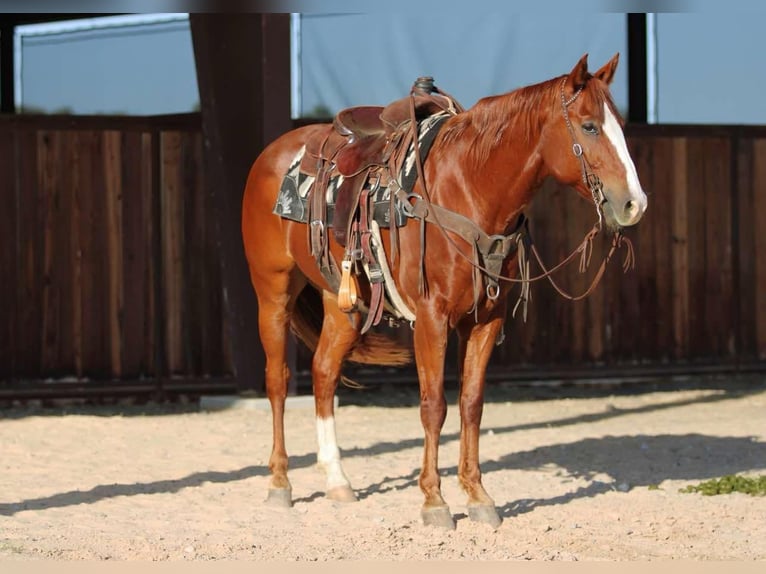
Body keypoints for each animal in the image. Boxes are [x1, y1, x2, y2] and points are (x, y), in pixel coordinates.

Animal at [241, 53, 647, 530]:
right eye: (588, 126)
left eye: (620, 124)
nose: (634, 203)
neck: (469, 188)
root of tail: (272, 154)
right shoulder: (432, 319)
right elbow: (433, 405)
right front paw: (434, 501)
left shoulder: (485, 320)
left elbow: (471, 403)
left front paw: (478, 495)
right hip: (273, 293)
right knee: (278, 380)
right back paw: (279, 482)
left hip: (342, 302)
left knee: (324, 373)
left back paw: (338, 480)